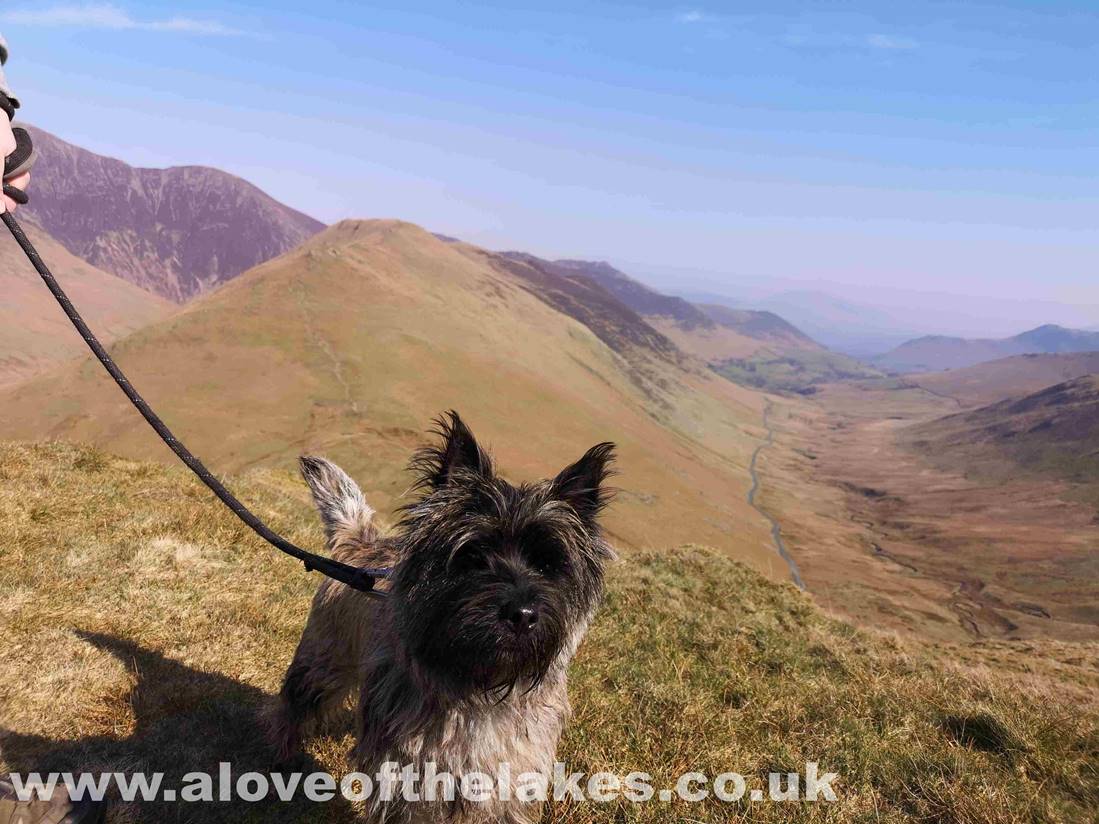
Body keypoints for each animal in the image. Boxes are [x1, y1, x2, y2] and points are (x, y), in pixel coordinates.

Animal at [264, 413, 611, 824]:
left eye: (547, 565)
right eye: (473, 556)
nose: (522, 615)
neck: (479, 689)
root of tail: (363, 544)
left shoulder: (512, 781)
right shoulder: (404, 774)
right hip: (325, 662)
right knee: (295, 702)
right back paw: (280, 758)